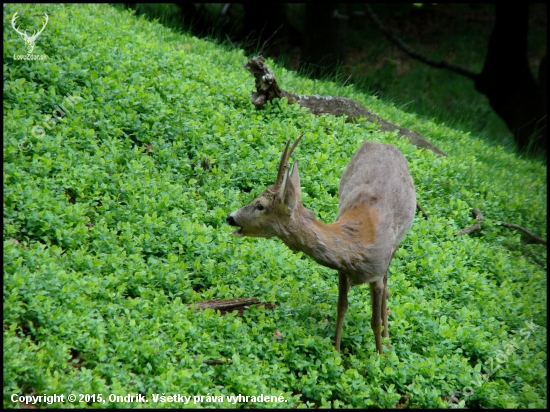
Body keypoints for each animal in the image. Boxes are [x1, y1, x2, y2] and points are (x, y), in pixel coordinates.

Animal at [226, 135, 416, 354]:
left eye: (260, 205)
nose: (230, 217)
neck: (357, 245)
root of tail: (382, 143)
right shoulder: (342, 271)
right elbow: (341, 307)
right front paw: (337, 351)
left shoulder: (376, 271)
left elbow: (374, 319)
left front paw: (380, 356)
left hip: (396, 245)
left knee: (386, 284)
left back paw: (386, 336)